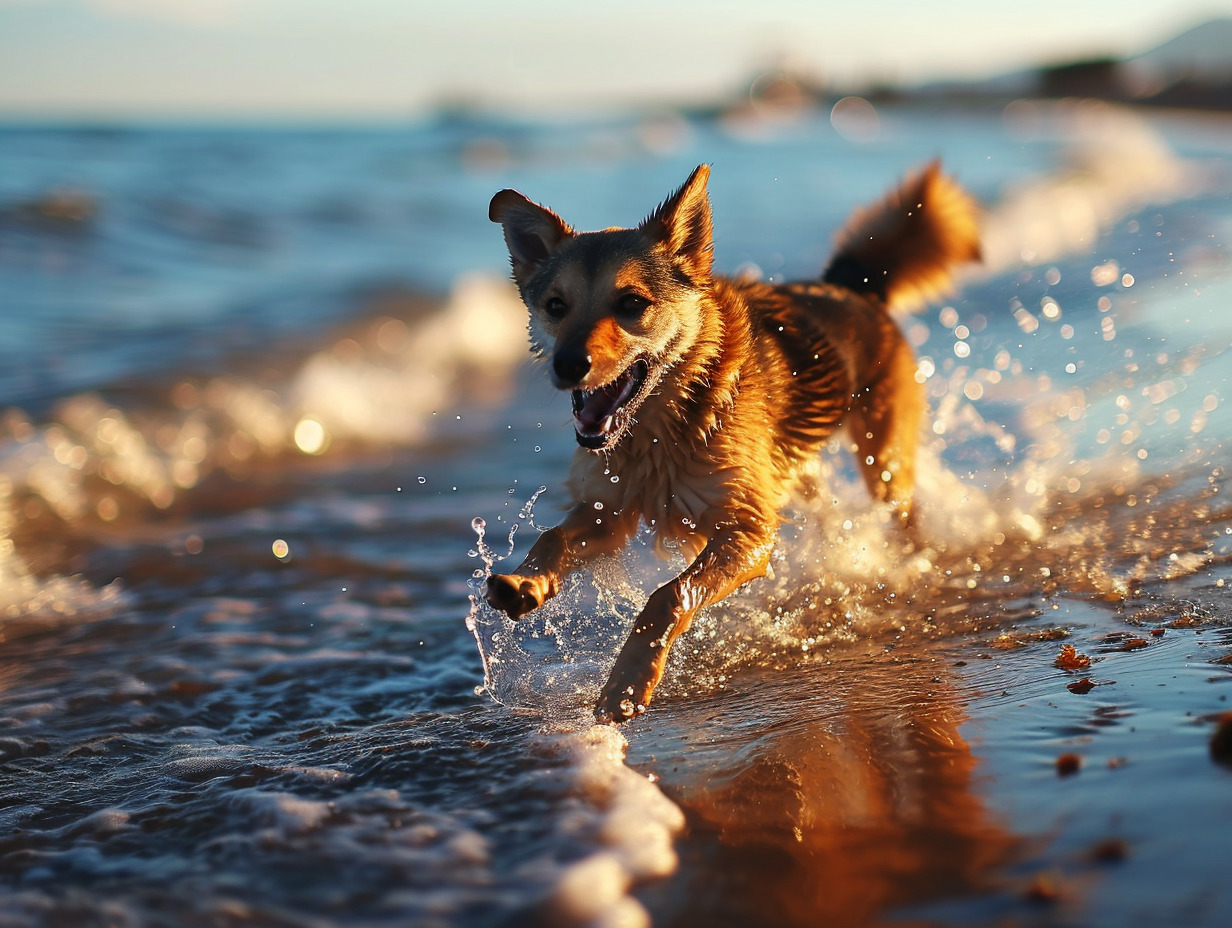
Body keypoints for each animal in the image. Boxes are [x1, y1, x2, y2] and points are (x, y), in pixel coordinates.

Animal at [485, 162, 975, 719]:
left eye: (632, 303)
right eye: (555, 306)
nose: (567, 365)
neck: (661, 432)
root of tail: (852, 288)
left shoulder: (748, 532)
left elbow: (667, 596)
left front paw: (627, 684)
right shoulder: (610, 512)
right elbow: (553, 537)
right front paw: (524, 582)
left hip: (883, 461)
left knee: (905, 515)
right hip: (797, 471)